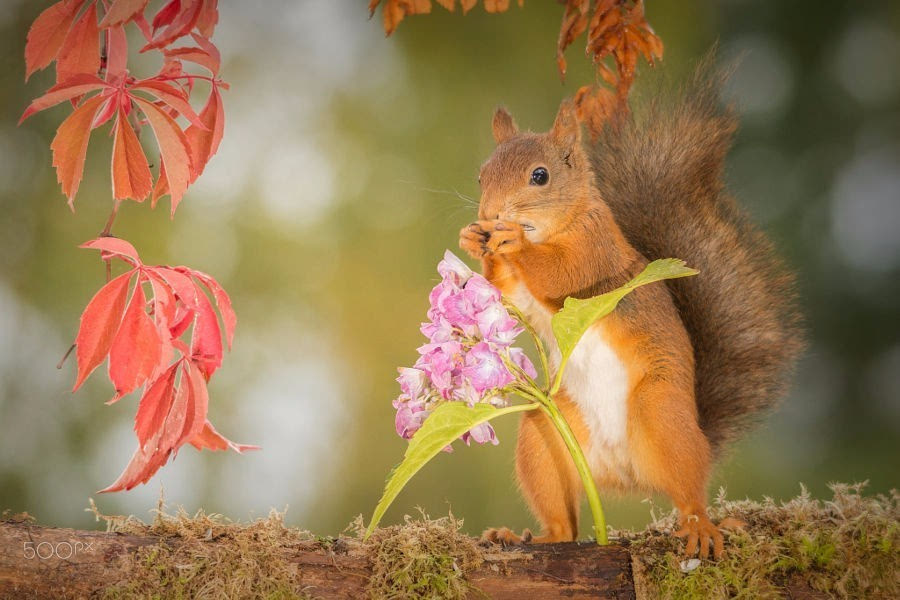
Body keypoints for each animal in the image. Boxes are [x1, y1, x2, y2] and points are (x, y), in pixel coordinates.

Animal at [460, 61, 800, 556]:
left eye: (540, 176)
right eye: (482, 176)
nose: (489, 215)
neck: (565, 220)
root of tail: (625, 475)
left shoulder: (595, 250)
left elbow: (561, 275)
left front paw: (513, 242)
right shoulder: (522, 295)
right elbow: (507, 295)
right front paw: (474, 242)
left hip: (661, 412)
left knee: (689, 492)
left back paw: (701, 526)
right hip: (546, 438)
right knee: (566, 523)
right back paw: (531, 535)